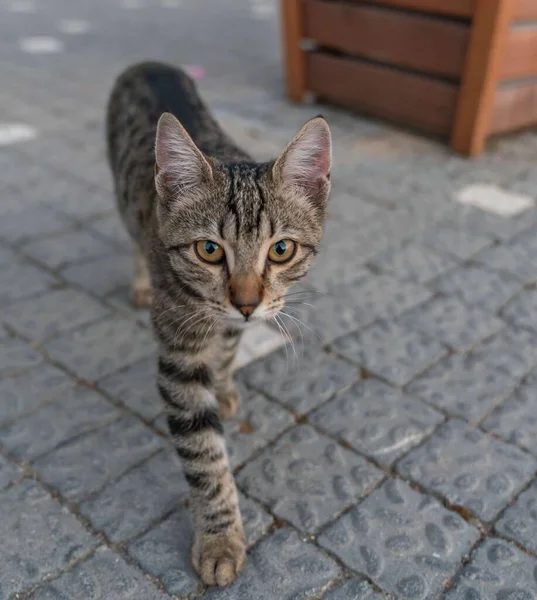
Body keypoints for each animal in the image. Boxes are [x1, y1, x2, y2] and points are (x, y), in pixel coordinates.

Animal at [105, 61, 330, 584]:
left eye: (281, 249)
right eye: (209, 250)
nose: (246, 303)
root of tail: (149, 63)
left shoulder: (231, 326)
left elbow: (227, 350)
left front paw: (224, 385)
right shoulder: (179, 360)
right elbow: (205, 457)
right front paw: (220, 539)